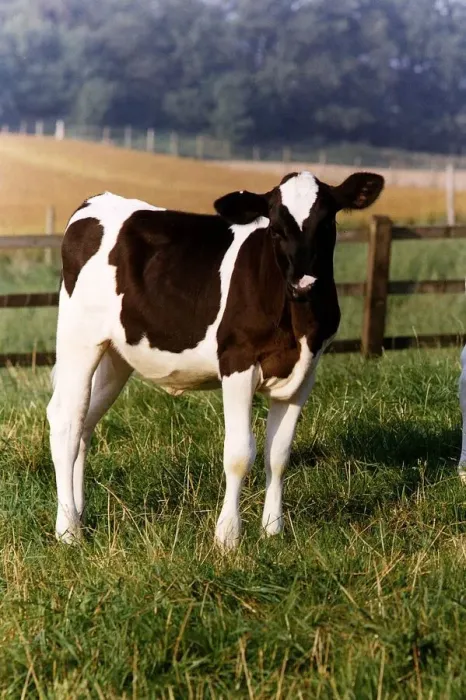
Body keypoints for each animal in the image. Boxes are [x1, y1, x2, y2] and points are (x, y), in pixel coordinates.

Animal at [47, 170, 384, 549]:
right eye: (275, 228)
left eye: (326, 224)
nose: (304, 283)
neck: (297, 323)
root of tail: (97, 201)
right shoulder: (237, 361)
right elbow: (239, 453)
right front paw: (227, 536)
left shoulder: (305, 371)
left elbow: (279, 454)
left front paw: (273, 530)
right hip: (78, 337)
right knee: (66, 421)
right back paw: (68, 530)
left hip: (117, 355)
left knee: (85, 424)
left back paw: (79, 514)